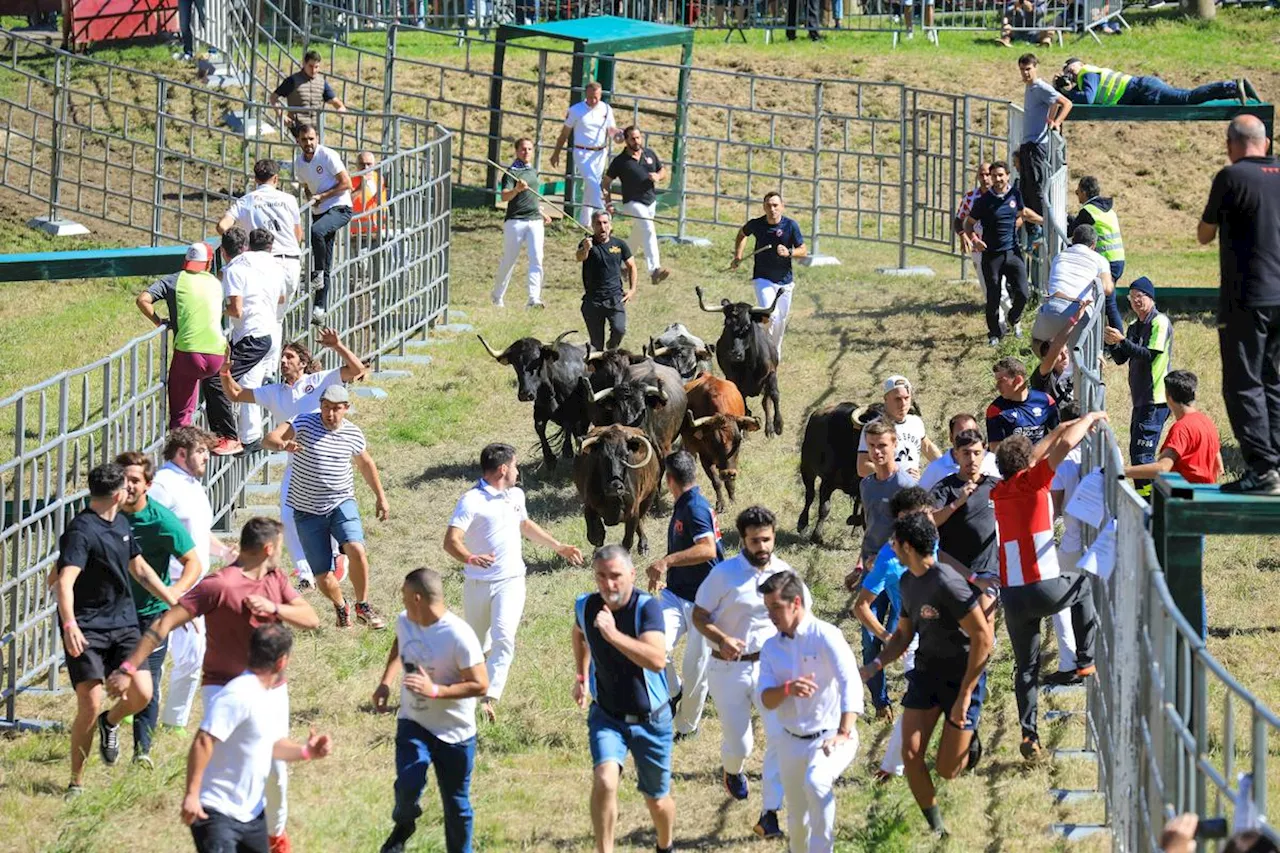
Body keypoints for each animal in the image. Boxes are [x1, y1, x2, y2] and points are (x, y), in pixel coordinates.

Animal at [680, 373, 757, 507]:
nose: (728, 473)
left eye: (739, 440)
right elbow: (716, 481)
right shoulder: (704, 457)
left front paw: (732, 501)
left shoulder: (733, 461)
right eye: (714, 441)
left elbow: (729, 482)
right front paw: (721, 504)